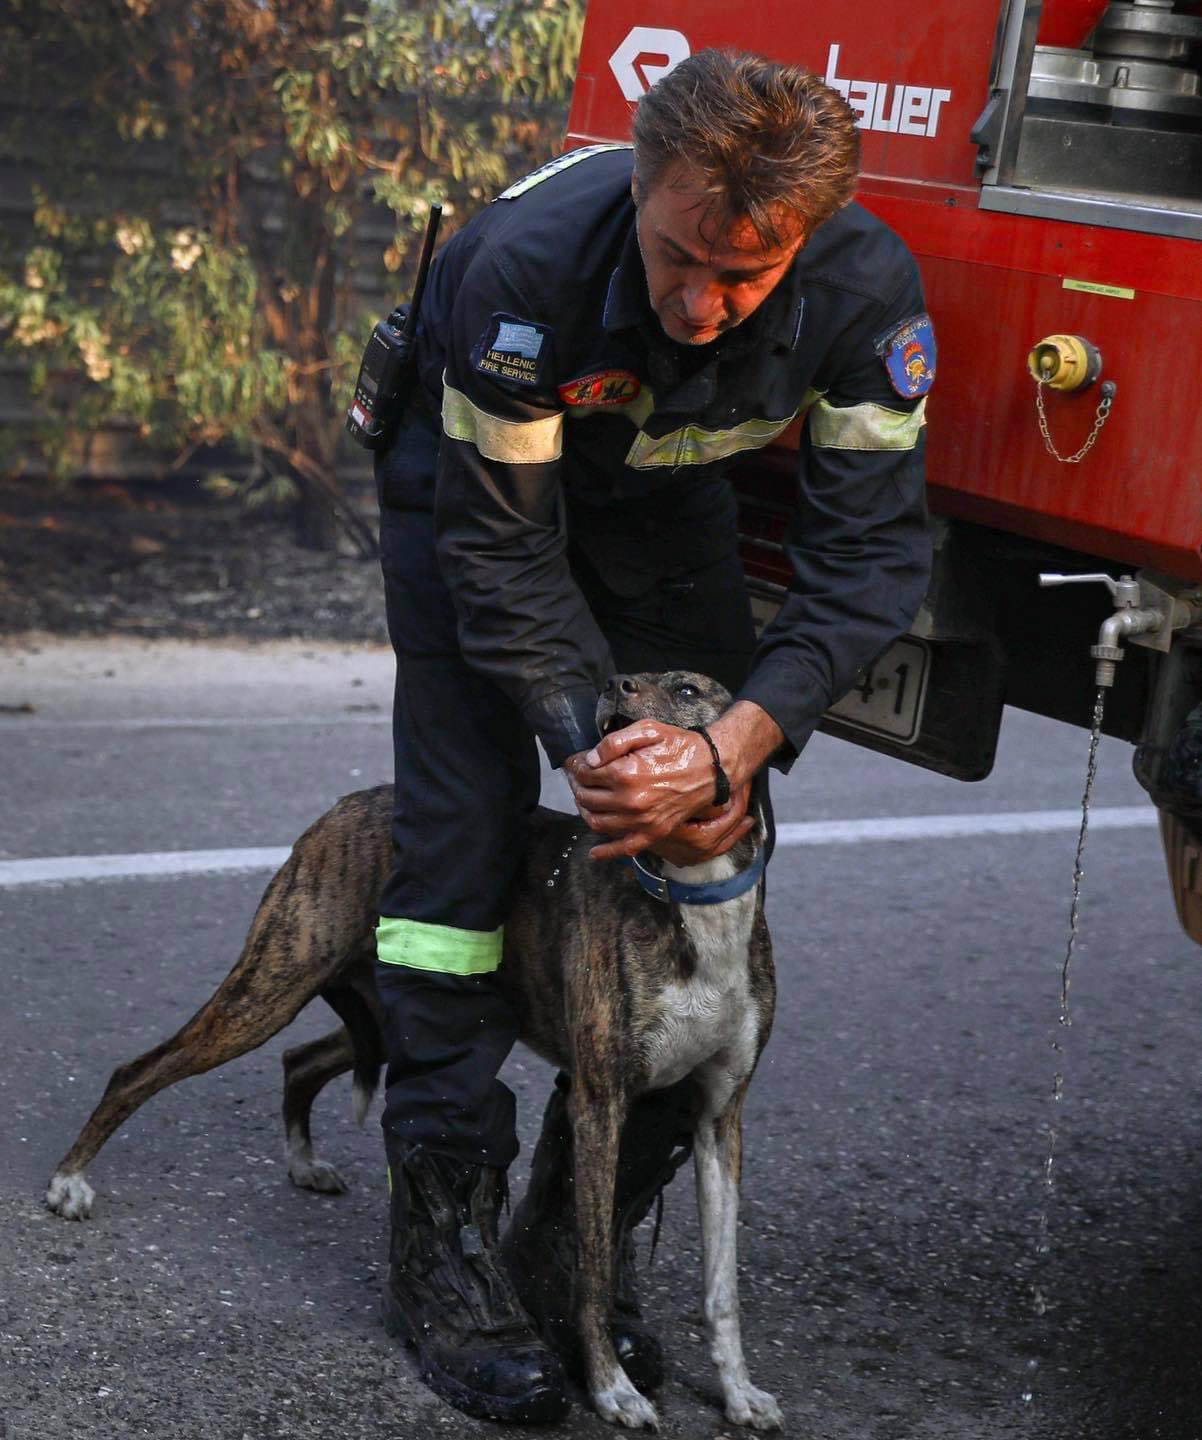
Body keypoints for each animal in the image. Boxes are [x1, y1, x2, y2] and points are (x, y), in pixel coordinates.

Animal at [47, 671, 783, 1428]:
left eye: (688, 688)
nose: (614, 682)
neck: (693, 899)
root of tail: (349, 803)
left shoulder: (718, 1118)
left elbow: (721, 1289)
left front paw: (739, 1393)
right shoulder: (602, 1102)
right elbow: (593, 1270)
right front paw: (612, 1388)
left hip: (367, 1008)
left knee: (300, 1061)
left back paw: (303, 1162)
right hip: (272, 985)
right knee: (138, 1071)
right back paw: (70, 1181)